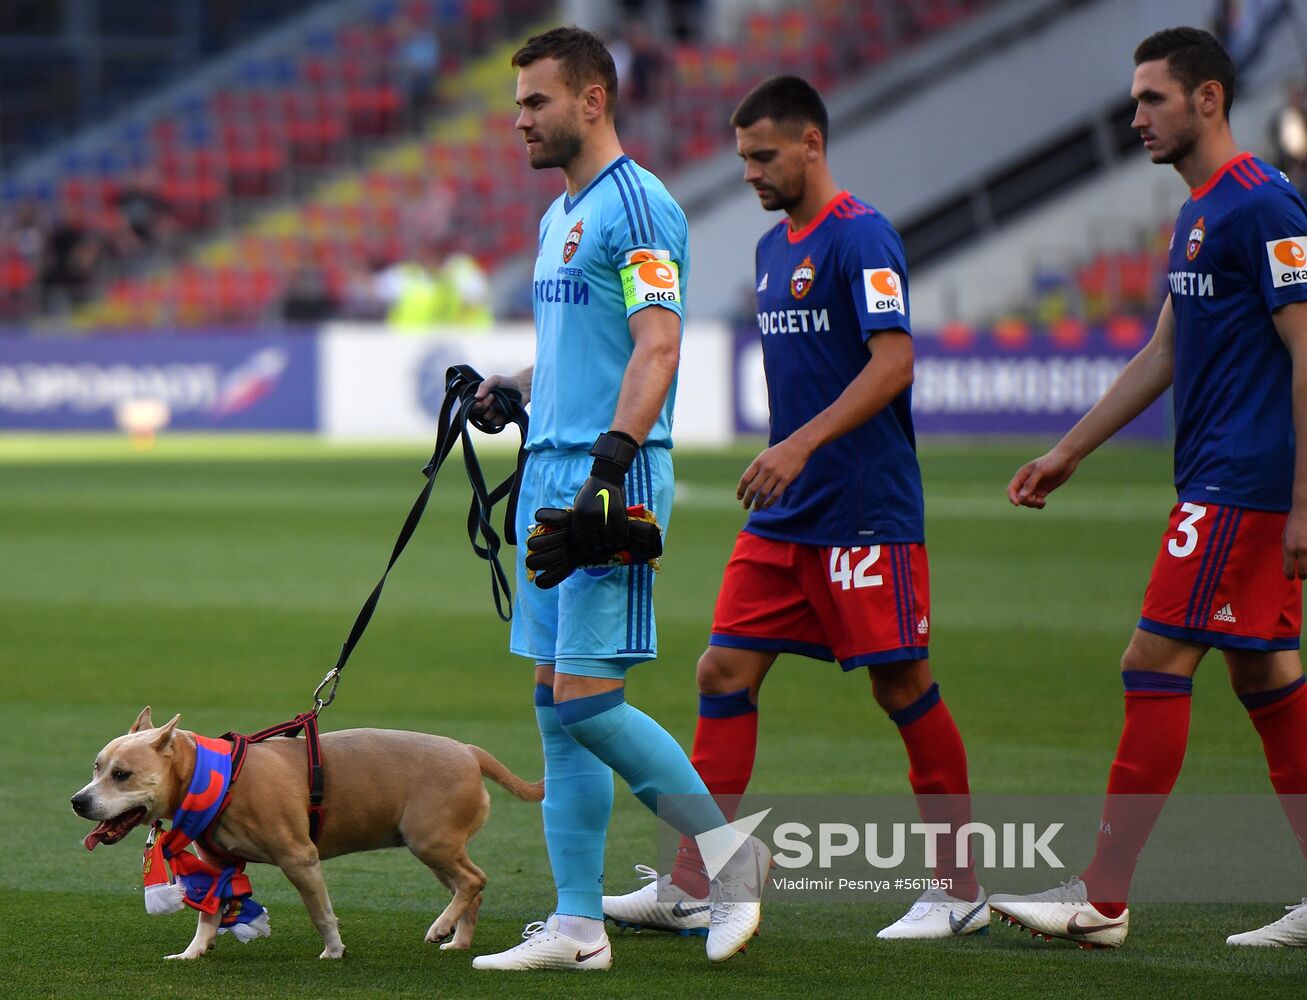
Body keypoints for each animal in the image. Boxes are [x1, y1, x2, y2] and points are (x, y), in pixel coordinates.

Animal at [72, 705, 541, 956]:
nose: (78, 801)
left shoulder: (299, 858)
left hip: (432, 843)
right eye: (96, 767)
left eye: (122, 774)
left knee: (475, 880)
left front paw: (334, 950)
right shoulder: (217, 865)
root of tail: (470, 752)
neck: (216, 777)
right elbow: (208, 913)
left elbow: (321, 912)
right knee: (471, 889)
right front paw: (194, 951)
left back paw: (441, 927)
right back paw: (457, 940)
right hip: (437, 850)